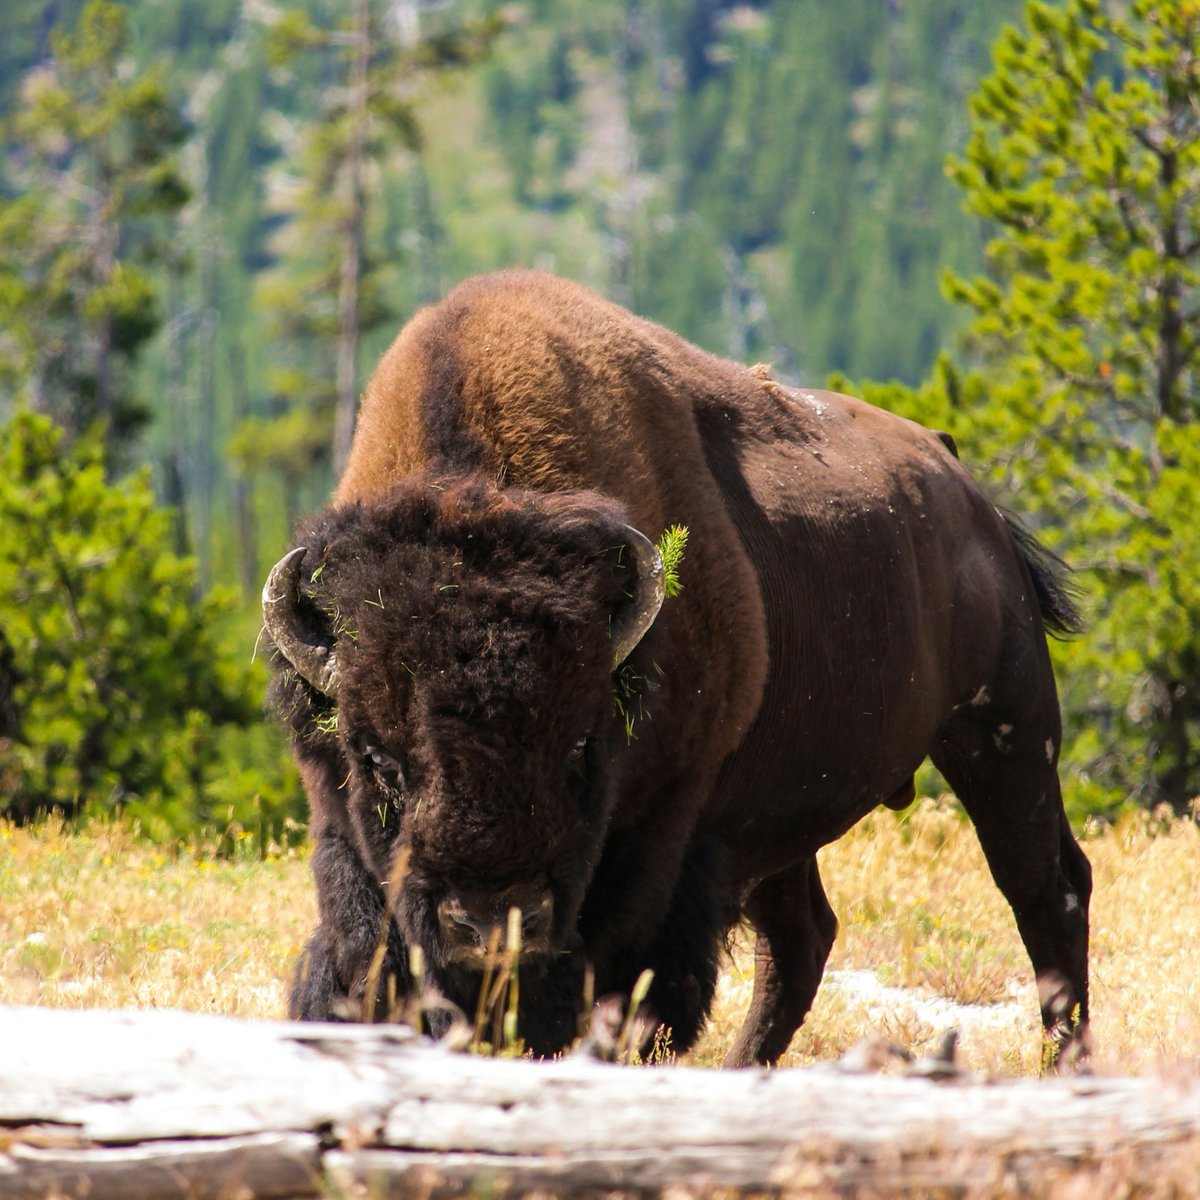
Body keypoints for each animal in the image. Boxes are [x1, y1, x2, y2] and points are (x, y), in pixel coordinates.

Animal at [263, 269, 1090, 1066]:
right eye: (378, 758)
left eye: (580, 746)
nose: (492, 923)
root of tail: (964, 485)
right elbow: (360, 958)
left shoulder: (667, 832)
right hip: (786, 814)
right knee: (803, 938)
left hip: (1005, 733)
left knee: (1048, 890)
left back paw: (1064, 1062)